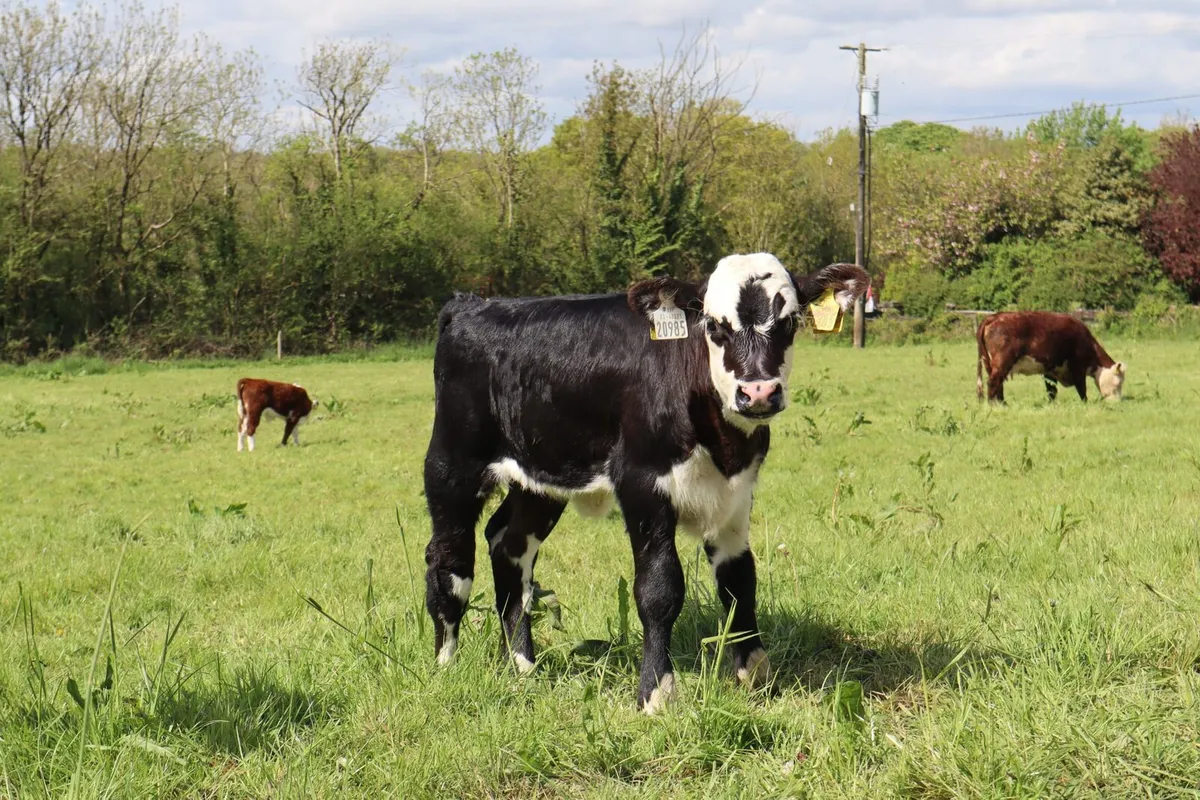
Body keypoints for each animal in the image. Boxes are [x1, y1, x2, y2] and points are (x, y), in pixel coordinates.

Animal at [423, 253, 869, 713]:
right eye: (714, 326)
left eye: (790, 321)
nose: (758, 391)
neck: (721, 442)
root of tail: (472, 305)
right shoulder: (642, 485)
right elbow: (659, 589)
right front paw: (656, 692)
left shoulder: (737, 492)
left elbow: (740, 582)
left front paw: (755, 674)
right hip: (452, 465)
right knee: (449, 562)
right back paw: (446, 665)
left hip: (539, 481)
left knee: (510, 548)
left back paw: (523, 665)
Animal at [976, 311, 1126, 403]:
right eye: (1118, 383)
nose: (1118, 402)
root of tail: (994, 317)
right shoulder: (1077, 366)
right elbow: (1081, 387)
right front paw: (1085, 403)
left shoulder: (1050, 369)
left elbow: (1051, 390)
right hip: (1002, 363)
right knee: (993, 382)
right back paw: (993, 405)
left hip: (989, 363)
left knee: (998, 384)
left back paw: (1002, 403)